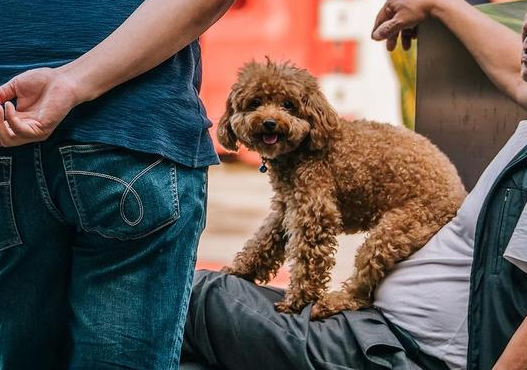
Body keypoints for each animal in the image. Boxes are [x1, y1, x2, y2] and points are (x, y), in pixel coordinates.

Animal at [219, 59, 466, 320]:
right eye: (255, 102)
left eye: (288, 104)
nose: (269, 123)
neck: (301, 149)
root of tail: (459, 191)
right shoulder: (287, 207)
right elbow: (264, 240)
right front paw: (239, 269)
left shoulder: (315, 211)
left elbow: (308, 261)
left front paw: (296, 301)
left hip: (399, 228)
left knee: (364, 285)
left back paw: (332, 303)